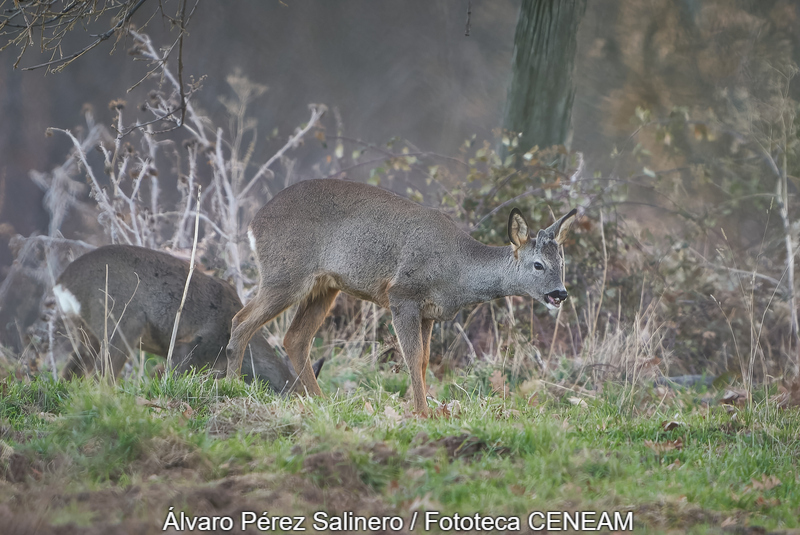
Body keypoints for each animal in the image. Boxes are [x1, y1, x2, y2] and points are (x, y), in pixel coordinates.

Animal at [53, 246, 324, 394]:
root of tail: (63, 282)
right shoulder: (190, 347)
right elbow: (164, 375)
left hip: (85, 331)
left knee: (71, 372)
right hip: (121, 321)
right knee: (101, 377)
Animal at [225, 180, 576, 414]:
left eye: (562, 263)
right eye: (538, 264)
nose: (560, 293)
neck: (458, 270)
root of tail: (253, 225)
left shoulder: (429, 313)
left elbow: (423, 360)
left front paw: (427, 408)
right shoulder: (402, 295)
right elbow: (412, 357)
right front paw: (423, 412)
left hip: (325, 286)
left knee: (295, 338)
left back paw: (320, 401)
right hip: (286, 273)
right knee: (241, 320)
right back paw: (232, 386)